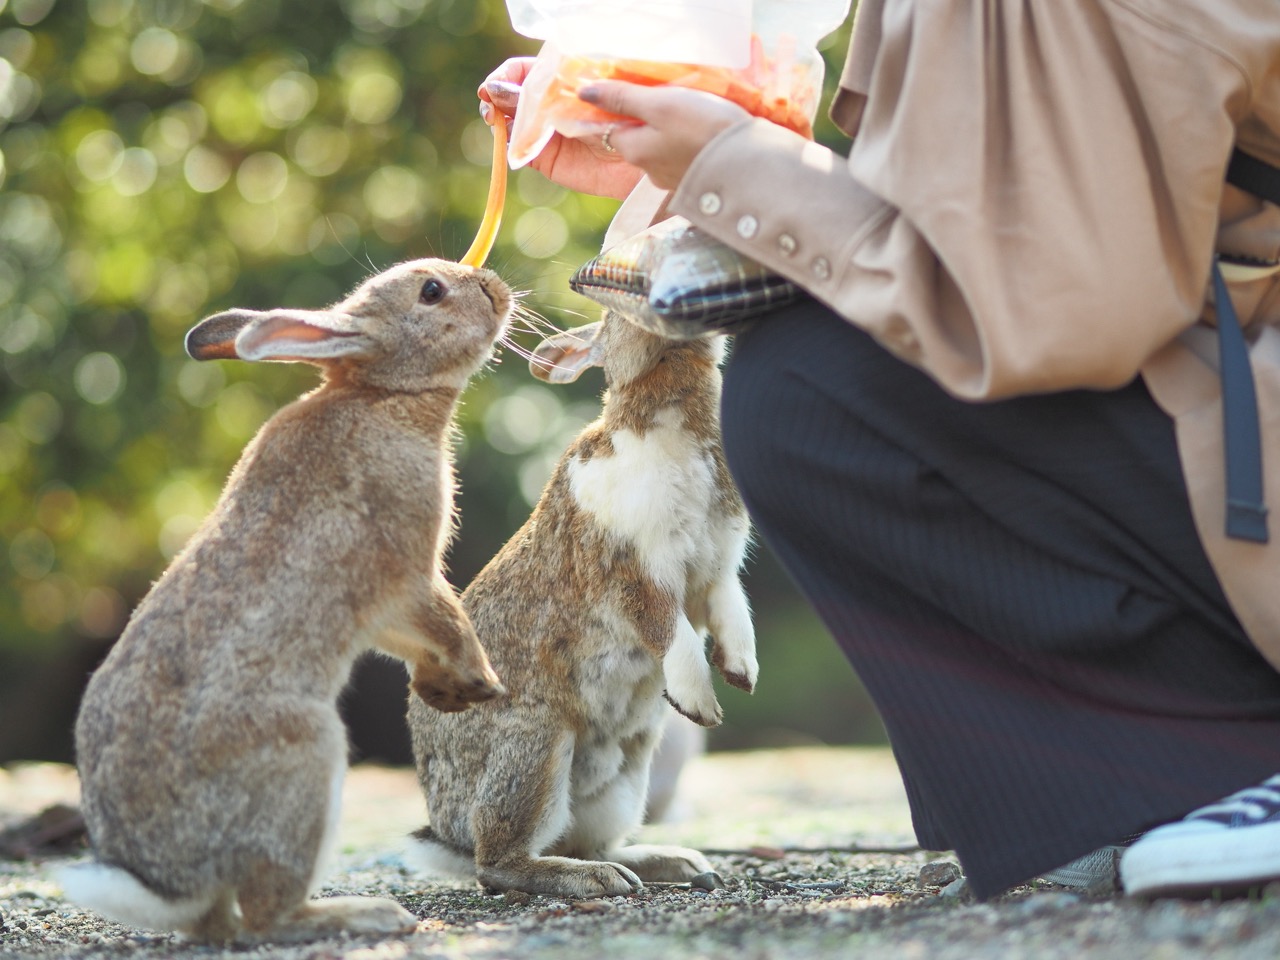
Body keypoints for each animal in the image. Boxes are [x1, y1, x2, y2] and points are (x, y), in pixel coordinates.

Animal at [57, 259, 509, 942]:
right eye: (431, 291)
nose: (496, 289)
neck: (386, 396)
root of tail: (169, 877)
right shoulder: (405, 574)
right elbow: (445, 620)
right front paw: (481, 685)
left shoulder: (378, 613)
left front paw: (443, 692)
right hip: (307, 758)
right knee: (270, 911)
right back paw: (371, 914)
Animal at [404, 316, 752, 901]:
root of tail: (446, 830)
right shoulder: (632, 569)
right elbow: (670, 631)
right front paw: (701, 704)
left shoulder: (719, 570)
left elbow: (733, 612)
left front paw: (743, 674)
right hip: (536, 745)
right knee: (498, 862)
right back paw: (593, 879)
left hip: (627, 775)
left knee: (590, 840)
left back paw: (670, 864)